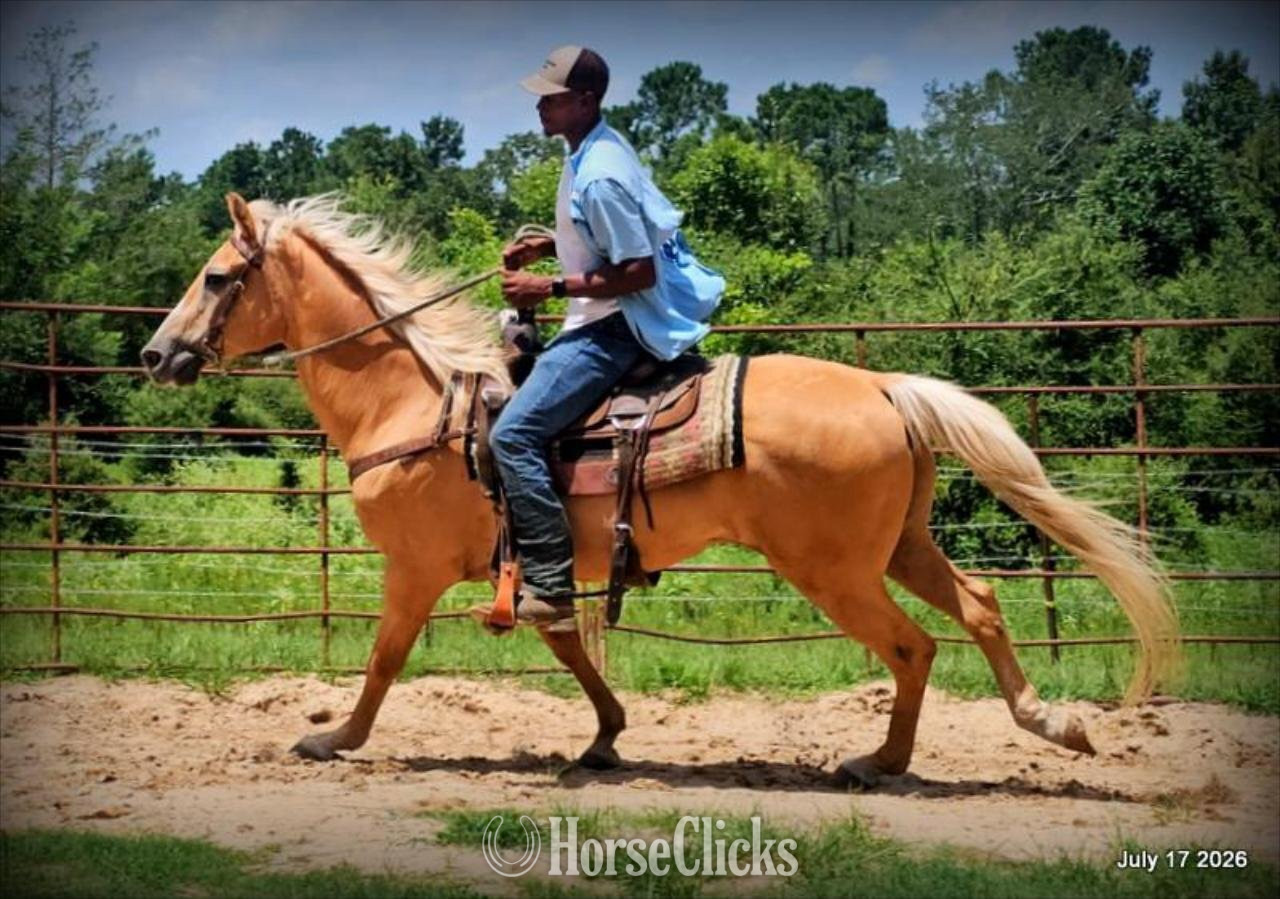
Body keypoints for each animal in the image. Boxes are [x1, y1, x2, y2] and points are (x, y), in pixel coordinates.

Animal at [140, 192, 1179, 787]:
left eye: (218, 276)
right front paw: (605, 737)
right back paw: (1051, 724)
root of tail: (887, 386)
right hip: (900, 543)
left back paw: (880, 760)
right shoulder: (538, 561)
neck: (413, 405)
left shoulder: (416, 569)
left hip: (834, 568)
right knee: (980, 602)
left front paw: (333, 739)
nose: (155, 353)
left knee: (912, 644)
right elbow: (567, 641)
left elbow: (385, 660)